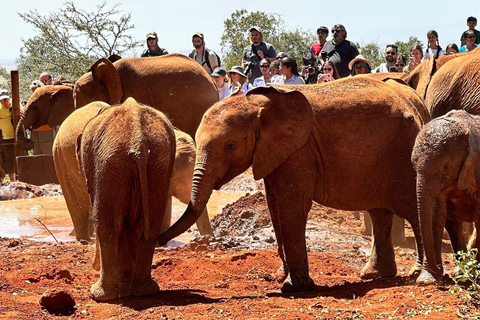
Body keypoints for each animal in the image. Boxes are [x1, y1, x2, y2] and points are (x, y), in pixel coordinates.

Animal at [77, 98, 176, 302]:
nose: (93, 266)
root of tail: (138, 142)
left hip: (110, 164)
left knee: (108, 225)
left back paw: (101, 295)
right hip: (157, 163)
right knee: (151, 224)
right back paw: (144, 291)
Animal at [159, 77, 430, 292]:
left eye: (229, 146)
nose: (160, 240)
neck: (256, 105)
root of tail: (413, 106)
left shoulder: (298, 150)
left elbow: (292, 206)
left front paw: (295, 287)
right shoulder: (273, 153)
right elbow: (274, 206)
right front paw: (282, 276)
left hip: (403, 153)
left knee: (411, 206)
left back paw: (417, 274)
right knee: (379, 213)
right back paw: (374, 274)